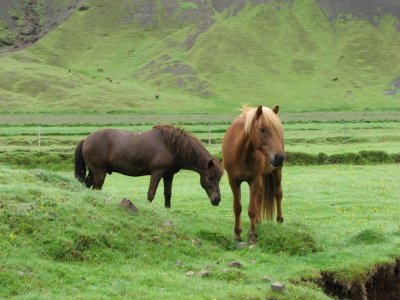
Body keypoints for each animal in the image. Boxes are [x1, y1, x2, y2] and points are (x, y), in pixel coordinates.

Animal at [75, 125, 223, 207]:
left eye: (219, 178)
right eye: (210, 178)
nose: (217, 200)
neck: (172, 147)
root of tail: (86, 139)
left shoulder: (169, 174)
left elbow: (167, 194)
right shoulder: (157, 172)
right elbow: (151, 194)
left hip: (93, 172)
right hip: (99, 172)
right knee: (96, 188)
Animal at [222, 105, 284, 244]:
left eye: (277, 130)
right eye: (262, 129)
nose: (280, 157)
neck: (240, 153)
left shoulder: (254, 180)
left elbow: (251, 209)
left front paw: (252, 237)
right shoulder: (233, 181)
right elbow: (237, 207)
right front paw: (237, 235)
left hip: (277, 172)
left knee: (278, 194)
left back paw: (279, 220)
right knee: (260, 196)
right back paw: (258, 221)